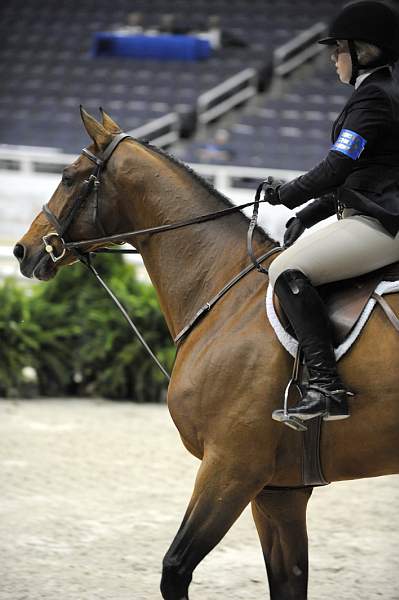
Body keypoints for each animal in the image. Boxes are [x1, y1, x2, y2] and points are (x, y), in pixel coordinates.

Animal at [14, 109, 399, 600]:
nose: (22, 250)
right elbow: (288, 580)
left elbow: (175, 569)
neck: (226, 291)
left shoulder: (233, 468)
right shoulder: (279, 490)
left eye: (67, 177)